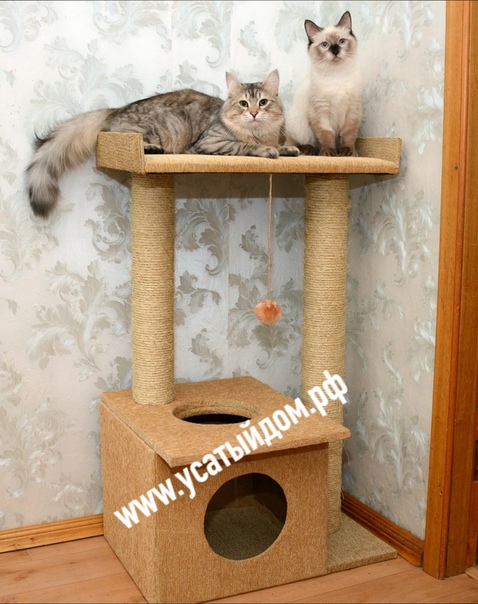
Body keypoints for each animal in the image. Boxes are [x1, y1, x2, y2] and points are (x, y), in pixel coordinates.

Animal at [27, 69, 298, 218]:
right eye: (243, 103)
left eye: (263, 102)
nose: (253, 113)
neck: (259, 133)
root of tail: (116, 109)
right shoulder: (211, 142)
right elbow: (245, 146)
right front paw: (267, 150)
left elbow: (280, 145)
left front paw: (288, 149)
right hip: (150, 130)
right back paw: (153, 149)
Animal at [285, 11, 363, 156]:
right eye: (325, 45)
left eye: (341, 41)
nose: (335, 51)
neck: (337, 75)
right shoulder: (321, 112)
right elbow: (327, 136)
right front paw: (329, 153)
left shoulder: (352, 111)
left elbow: (348, 136)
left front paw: (348, 153)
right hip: (299, 125)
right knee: (296, 143)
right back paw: (309, 150)